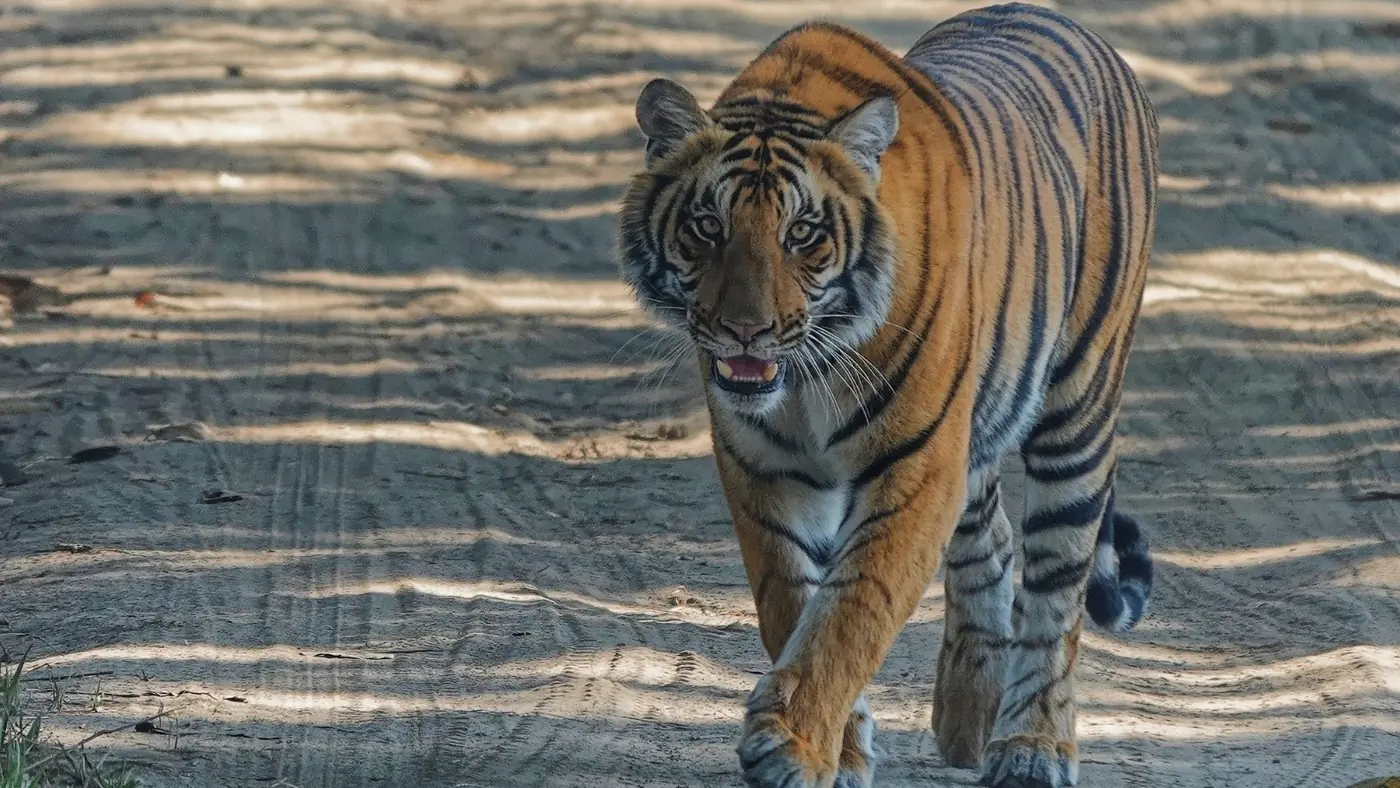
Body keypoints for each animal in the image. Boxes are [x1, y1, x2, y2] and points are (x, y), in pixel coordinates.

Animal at [615, 3, 1158, 787]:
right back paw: (969, 719)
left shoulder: (917, 466)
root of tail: (1065, 21)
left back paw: (1030, 747)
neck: (807, 378)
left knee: (1058, 591)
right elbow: (791, 604)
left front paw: (790, 747)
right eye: (707, 226)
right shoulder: (764, 471)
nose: (746, 331)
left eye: (802, 233)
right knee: (990, 539)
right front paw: (837, 750)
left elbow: (852, 611)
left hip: (1078, 408)